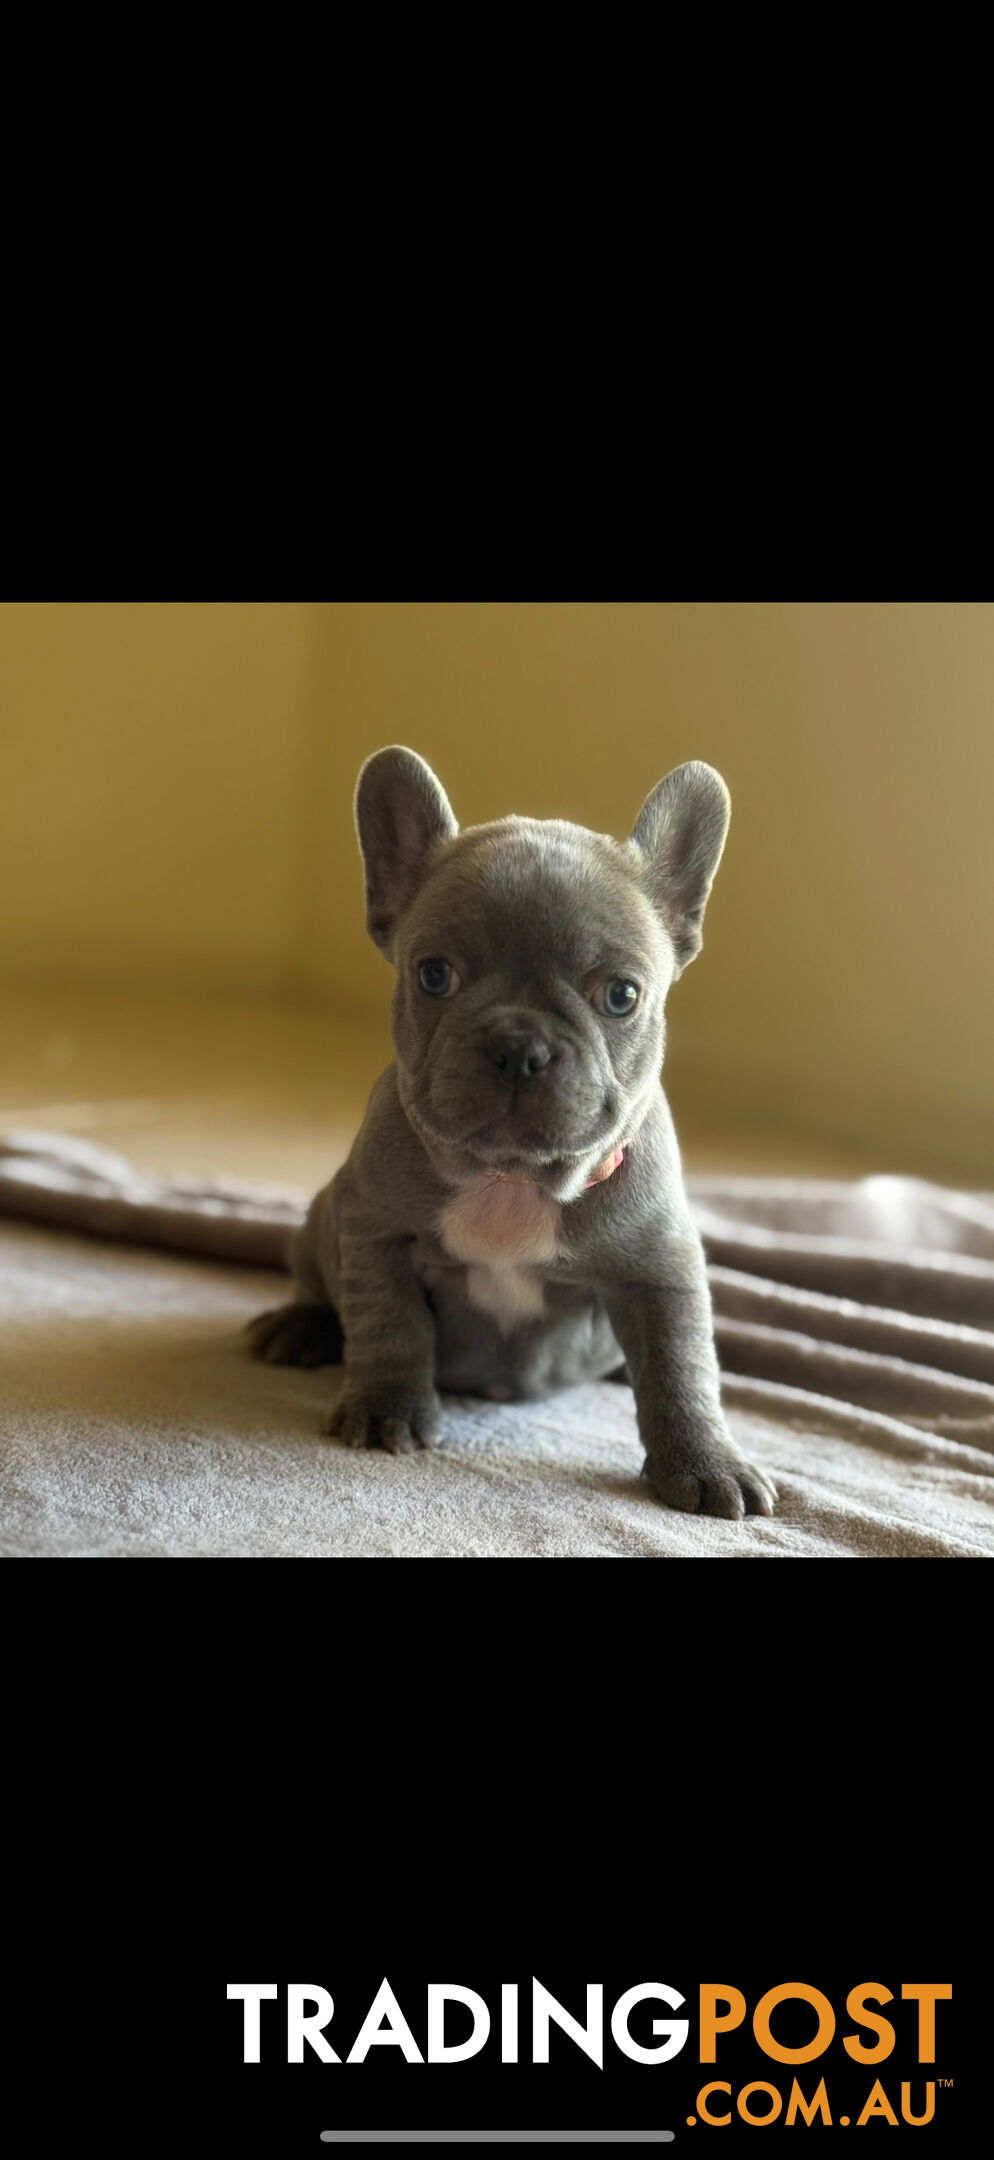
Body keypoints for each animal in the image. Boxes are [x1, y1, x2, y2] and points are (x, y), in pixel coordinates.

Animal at [246, 743, 777, 1520]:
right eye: (434, 975)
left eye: (621, 995)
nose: (519, 1046)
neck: (510, 1177)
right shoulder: (375, 1232)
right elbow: (391, 1326)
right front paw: (387, 1409)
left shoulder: (661, 1269)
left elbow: (681, 1368)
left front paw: (705, 1462)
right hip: (322, 1216)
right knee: (321, 1289)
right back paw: (299, 1327)